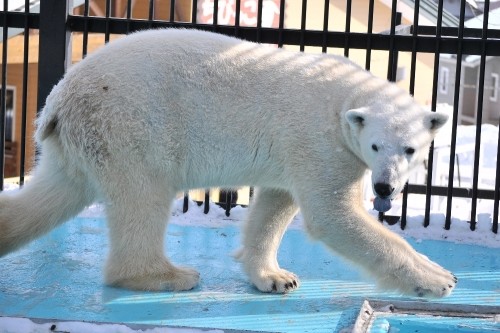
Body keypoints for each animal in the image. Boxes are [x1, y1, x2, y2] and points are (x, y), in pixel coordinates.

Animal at [0, 28, 458, 296]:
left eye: (410, 149)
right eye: (377, 146)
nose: (383, 187)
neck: (344, 98)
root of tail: (59, 99)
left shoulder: (294, 150)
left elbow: (274, 207)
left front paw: (275, 277)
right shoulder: (321, 141)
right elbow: (333, 215)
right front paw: (439, 278)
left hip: (84, 140)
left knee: (52, 193)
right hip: (129, 125)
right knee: (143, 196)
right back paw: (168, 276)